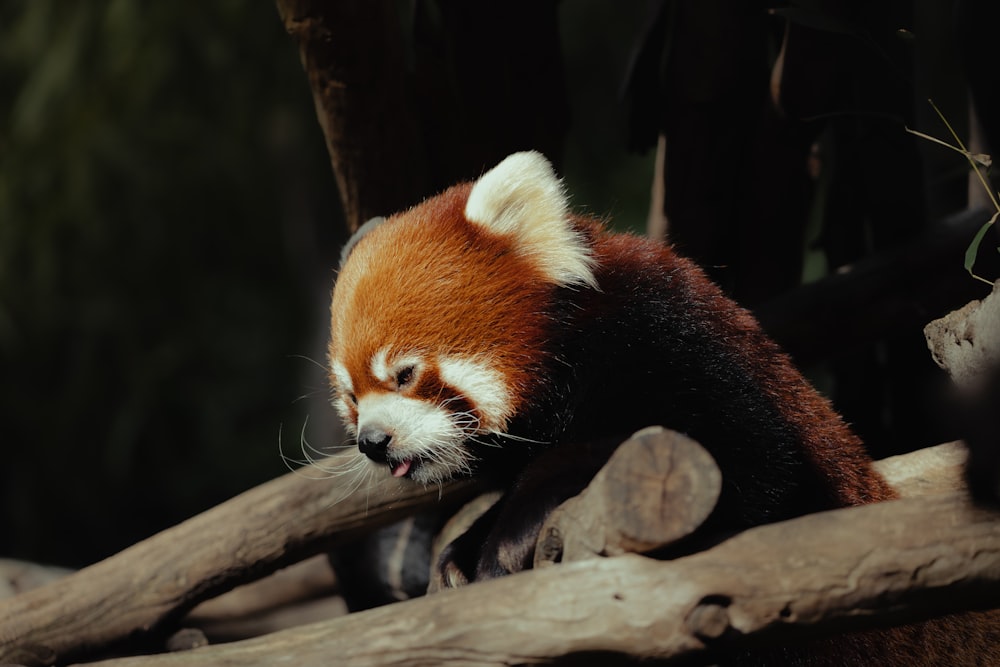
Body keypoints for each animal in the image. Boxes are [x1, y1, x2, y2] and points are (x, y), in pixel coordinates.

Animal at [330, 154, 1000, 660]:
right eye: (352, 395)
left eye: (405, 374)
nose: (374, 442)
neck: (575, 361)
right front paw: (464, 548)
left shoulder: (675, 347)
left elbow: (750, 466)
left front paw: (513, 532)